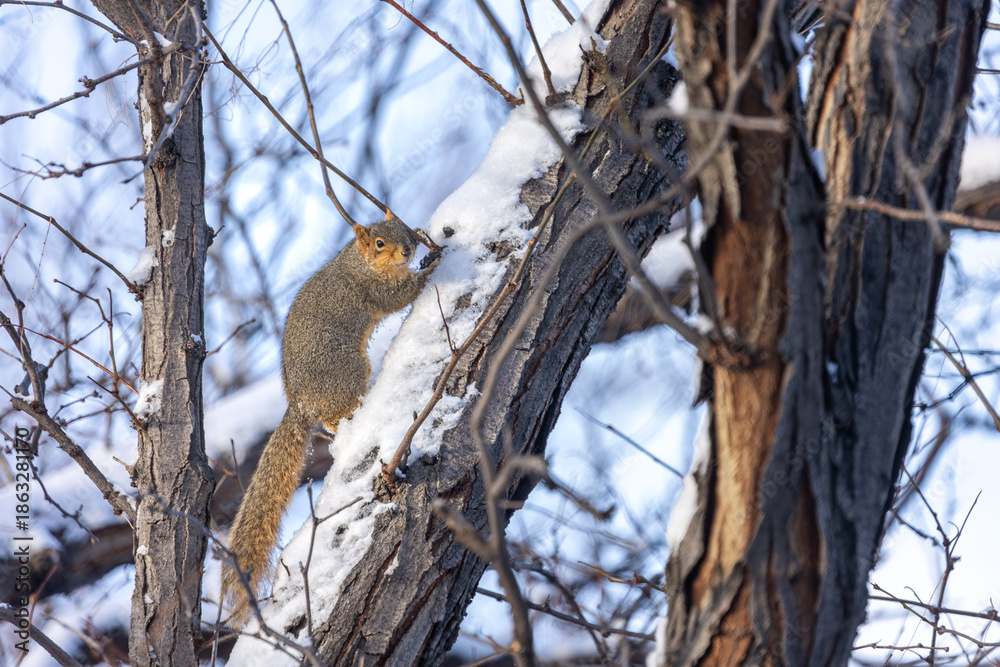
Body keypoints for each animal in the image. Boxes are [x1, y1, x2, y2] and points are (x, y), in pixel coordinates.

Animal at [222, 219, 439, 627]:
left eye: (403, 231)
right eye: (380, 242)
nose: (408, 250)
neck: (361, 262)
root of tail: (300, 405)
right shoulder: (372, 290)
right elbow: (397, 297)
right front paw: (433, 266)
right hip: (347, 372)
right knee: (336, 415)